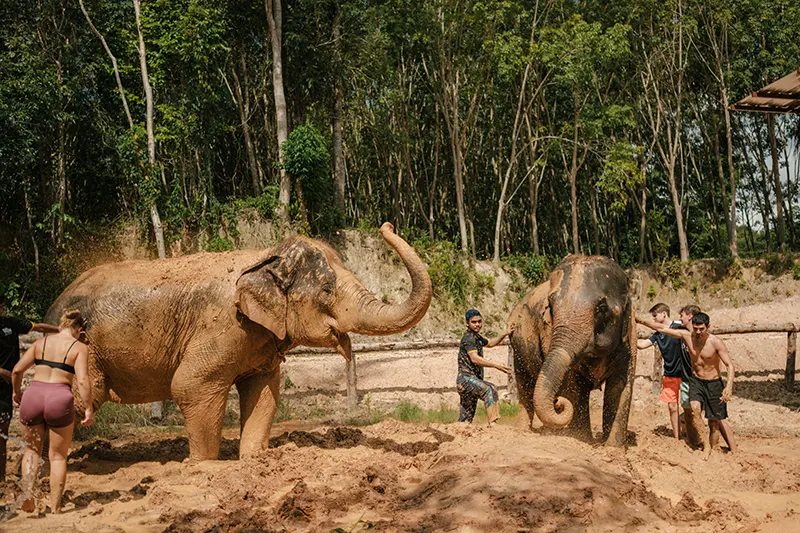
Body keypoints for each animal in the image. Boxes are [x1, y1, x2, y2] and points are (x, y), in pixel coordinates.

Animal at [45, 223, 432, 460]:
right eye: (326, 290)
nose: (386, 225)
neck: (264, 256)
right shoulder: (223, 327)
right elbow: (190, 385)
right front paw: (200, 465)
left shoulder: (258, 340)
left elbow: (264, 391)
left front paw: (254, 460)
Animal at [508, 255, 637, 446]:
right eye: (550, 305)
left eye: (601, 308)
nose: (557, 403)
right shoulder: (548, 332)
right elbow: (572, 385)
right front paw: (580, 439)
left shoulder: (630, 337)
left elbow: (620, 386)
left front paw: (613, 448)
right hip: (518, 346)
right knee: (525, 384)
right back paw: (525, 430)